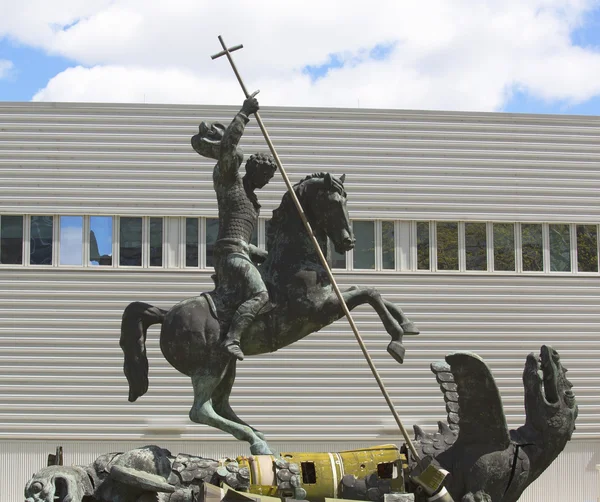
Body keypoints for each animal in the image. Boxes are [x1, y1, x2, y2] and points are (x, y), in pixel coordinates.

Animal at [119, 173, 420, 454]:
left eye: (346, 200)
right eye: (332, 203)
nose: (349, 241)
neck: (296, 260)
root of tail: (167, 314)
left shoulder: (328, 301)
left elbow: (366, 290)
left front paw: (407, 324)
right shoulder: (319, 310)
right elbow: (367, 292)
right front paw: (396, 341)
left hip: (228, 365)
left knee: (221, 405)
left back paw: (259, 436)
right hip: (210, 367)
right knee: (200, 410)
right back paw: (257, 442)